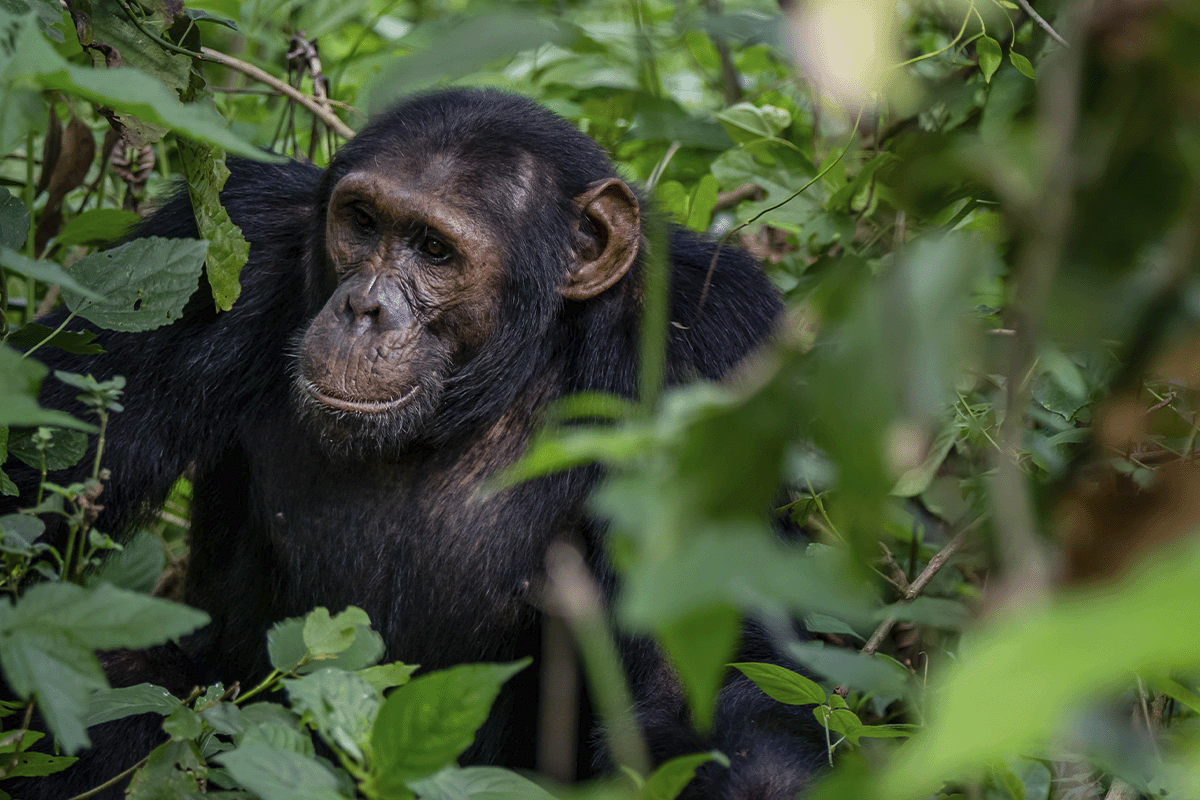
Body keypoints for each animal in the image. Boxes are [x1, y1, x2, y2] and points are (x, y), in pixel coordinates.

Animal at [2, 90, 825, 796]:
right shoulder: (227, 240)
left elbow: (701, 673)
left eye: (433, 248)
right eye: (363, 222)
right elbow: (38, 492)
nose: (362, 307)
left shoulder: (709, 347)